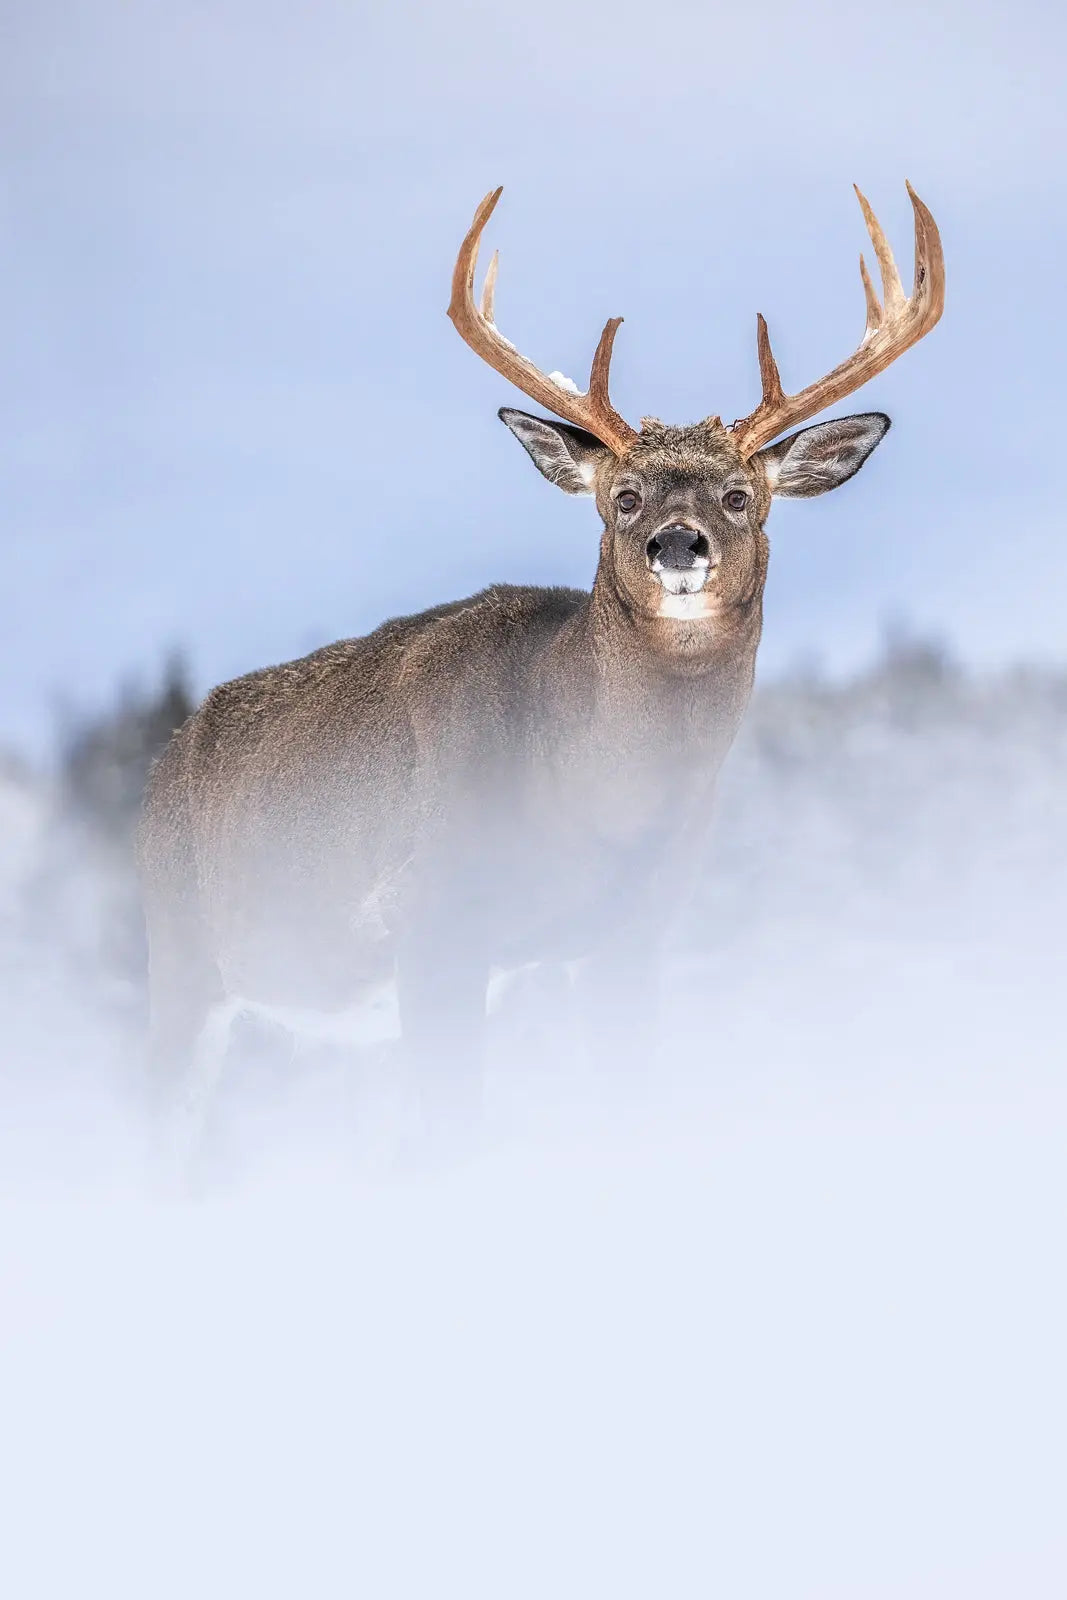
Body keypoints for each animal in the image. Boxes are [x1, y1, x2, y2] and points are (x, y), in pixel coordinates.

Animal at [137, 182, 944, 1155]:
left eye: (739, 497)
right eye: (622, 497)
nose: (679, 543)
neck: (596, 804)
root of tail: (165, 761)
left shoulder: (628, 935)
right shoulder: (432, 913)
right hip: (183, 960)